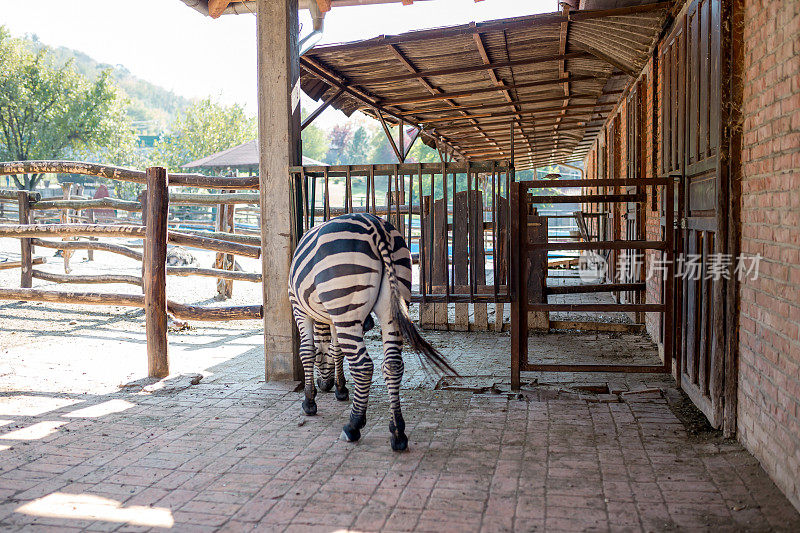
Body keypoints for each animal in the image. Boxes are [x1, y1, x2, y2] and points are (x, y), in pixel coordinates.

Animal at [290, 211, 460, 448]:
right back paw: (397, 431)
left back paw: (353, 426)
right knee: (393, 364)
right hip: (392, 303)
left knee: (363, 366)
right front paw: (340, 389)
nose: (325, 385)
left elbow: (308, 351)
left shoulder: (299, 307)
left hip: (346, 305)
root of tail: (376, 227)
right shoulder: (334, 318)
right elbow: (337, 351)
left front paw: (309, 401)